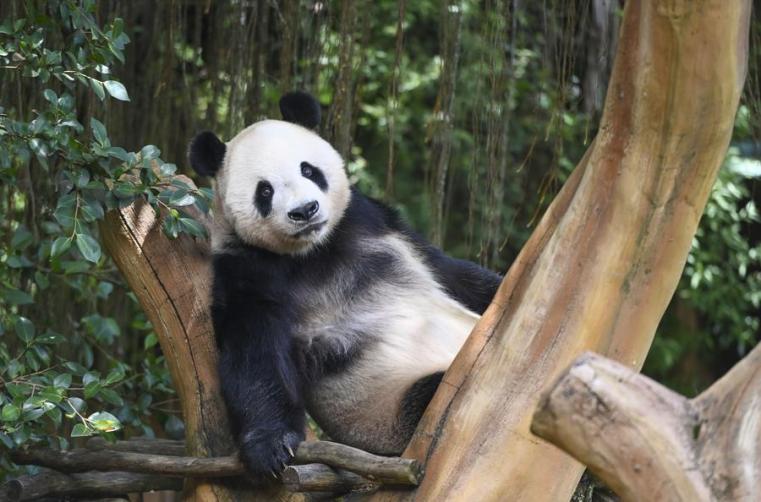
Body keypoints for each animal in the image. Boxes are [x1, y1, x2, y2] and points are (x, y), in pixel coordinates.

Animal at [188, 91, 502, 479]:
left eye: (308, 170)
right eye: (265, 191)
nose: (305, 210)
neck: (315, 251)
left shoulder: (373, 223)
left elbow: (454, 273)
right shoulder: (247, 268)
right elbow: (254, 352)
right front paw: (269, 447)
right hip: (394, 411)